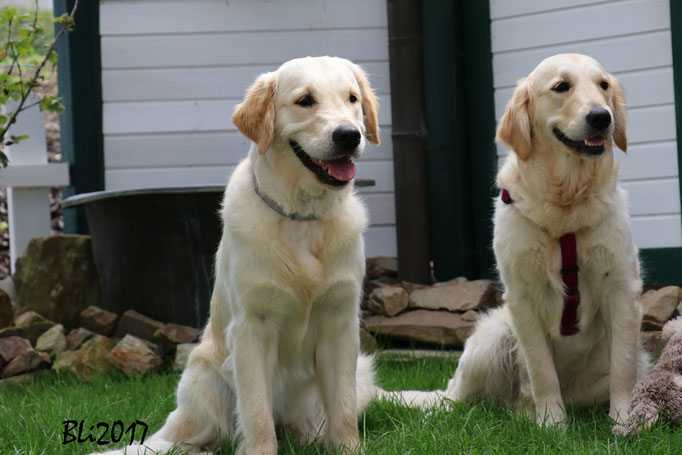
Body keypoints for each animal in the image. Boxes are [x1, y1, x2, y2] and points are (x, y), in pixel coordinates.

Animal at [388, 53, 648, 428]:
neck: (565, 202)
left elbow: (622, 367)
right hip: (492, 338)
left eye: (603, 85)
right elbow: (541, 370)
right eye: (561, 86)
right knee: (453, 400)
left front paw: (624, 419)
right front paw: (552, 425)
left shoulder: (622, 289)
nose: (602, 117)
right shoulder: (522, 298)